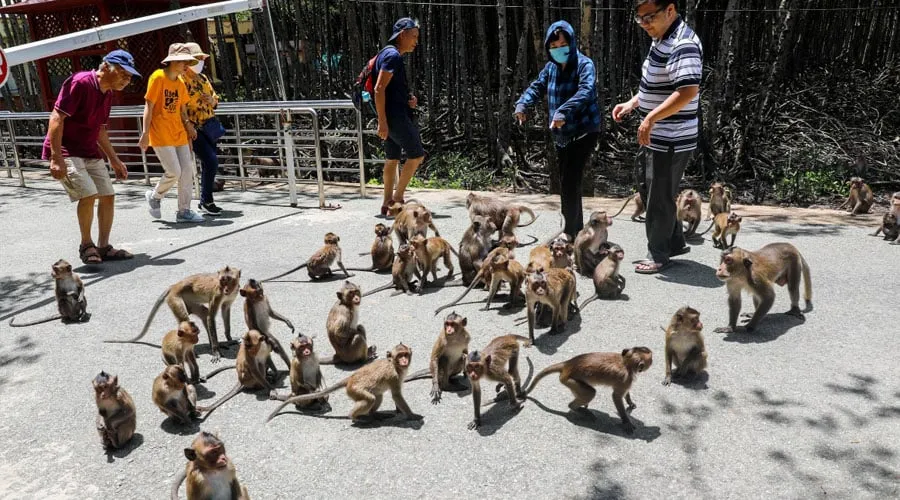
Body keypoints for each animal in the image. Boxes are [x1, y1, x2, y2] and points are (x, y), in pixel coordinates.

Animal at [105, 266, 241, 362]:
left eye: (229, 280)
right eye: (222, 281)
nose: (226, 289)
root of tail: (174, 285)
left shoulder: (232, 295)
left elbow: (225, 310)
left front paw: (229, 338)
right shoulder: (217, 294)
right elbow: (211, 317)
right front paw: (216, 351)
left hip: (188, 301)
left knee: (203, 312)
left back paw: (212, 343)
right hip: (175, 299)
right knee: (187, 319)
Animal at [267, 343, 423, 424]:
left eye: (405, 354)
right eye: (400, 356)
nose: (404, 361)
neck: (395, 366)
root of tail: (351, 378)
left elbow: (396, 396)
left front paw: (400, 411)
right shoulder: (394, 376)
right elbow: (397, 395)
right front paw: (411, 415)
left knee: (377, 396)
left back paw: (374, 415)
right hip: (354, 389)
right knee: (370, 399)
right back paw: (354, 417)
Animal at [524, 347, 653, 435]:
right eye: (651, 360)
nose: (653, 361)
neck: (625, 362)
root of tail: (568, 364)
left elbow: (623, 394)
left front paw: (630, 402)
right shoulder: (626, 379)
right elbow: (616, 396)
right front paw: (626, 422)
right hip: (567, 380)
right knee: (590, 393)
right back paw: (575, 408)